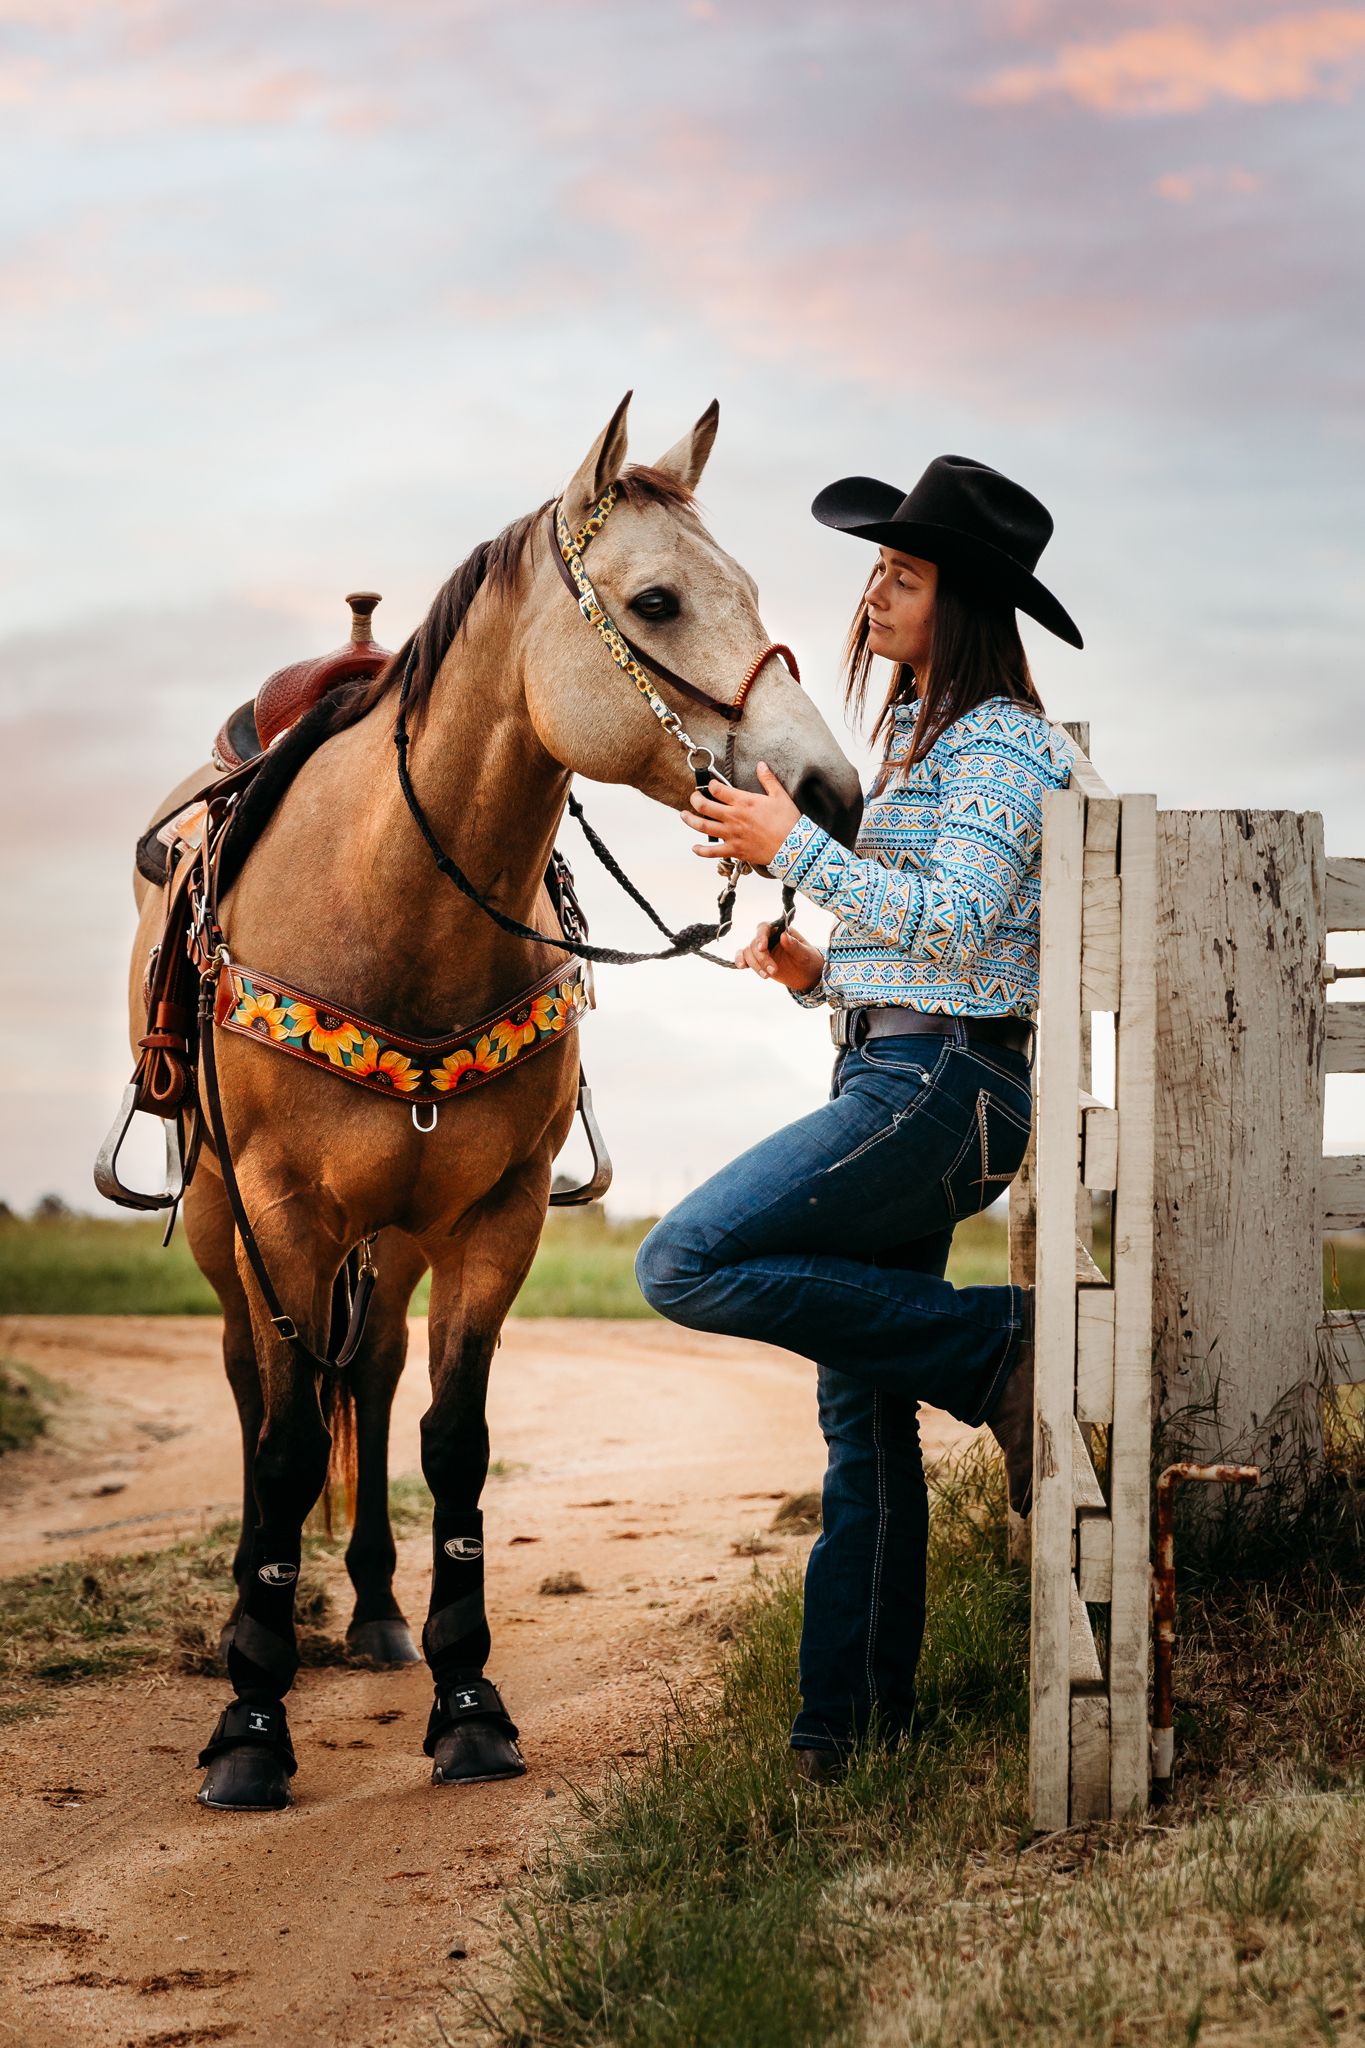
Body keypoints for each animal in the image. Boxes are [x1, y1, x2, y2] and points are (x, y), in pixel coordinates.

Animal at [124, 394, 864, 1809]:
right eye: (658, 601)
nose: (830, 795)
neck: (394, 903)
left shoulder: (493, 1216)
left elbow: (450, 1441)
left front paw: (468, 1699)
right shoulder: (282, 1212)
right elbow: (284, 1445)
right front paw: (250, 1719)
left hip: (397, 1234)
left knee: (368, 1375)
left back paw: (370, 1612)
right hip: (223, 1225)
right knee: (257, 1390)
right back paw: (268, 1610)